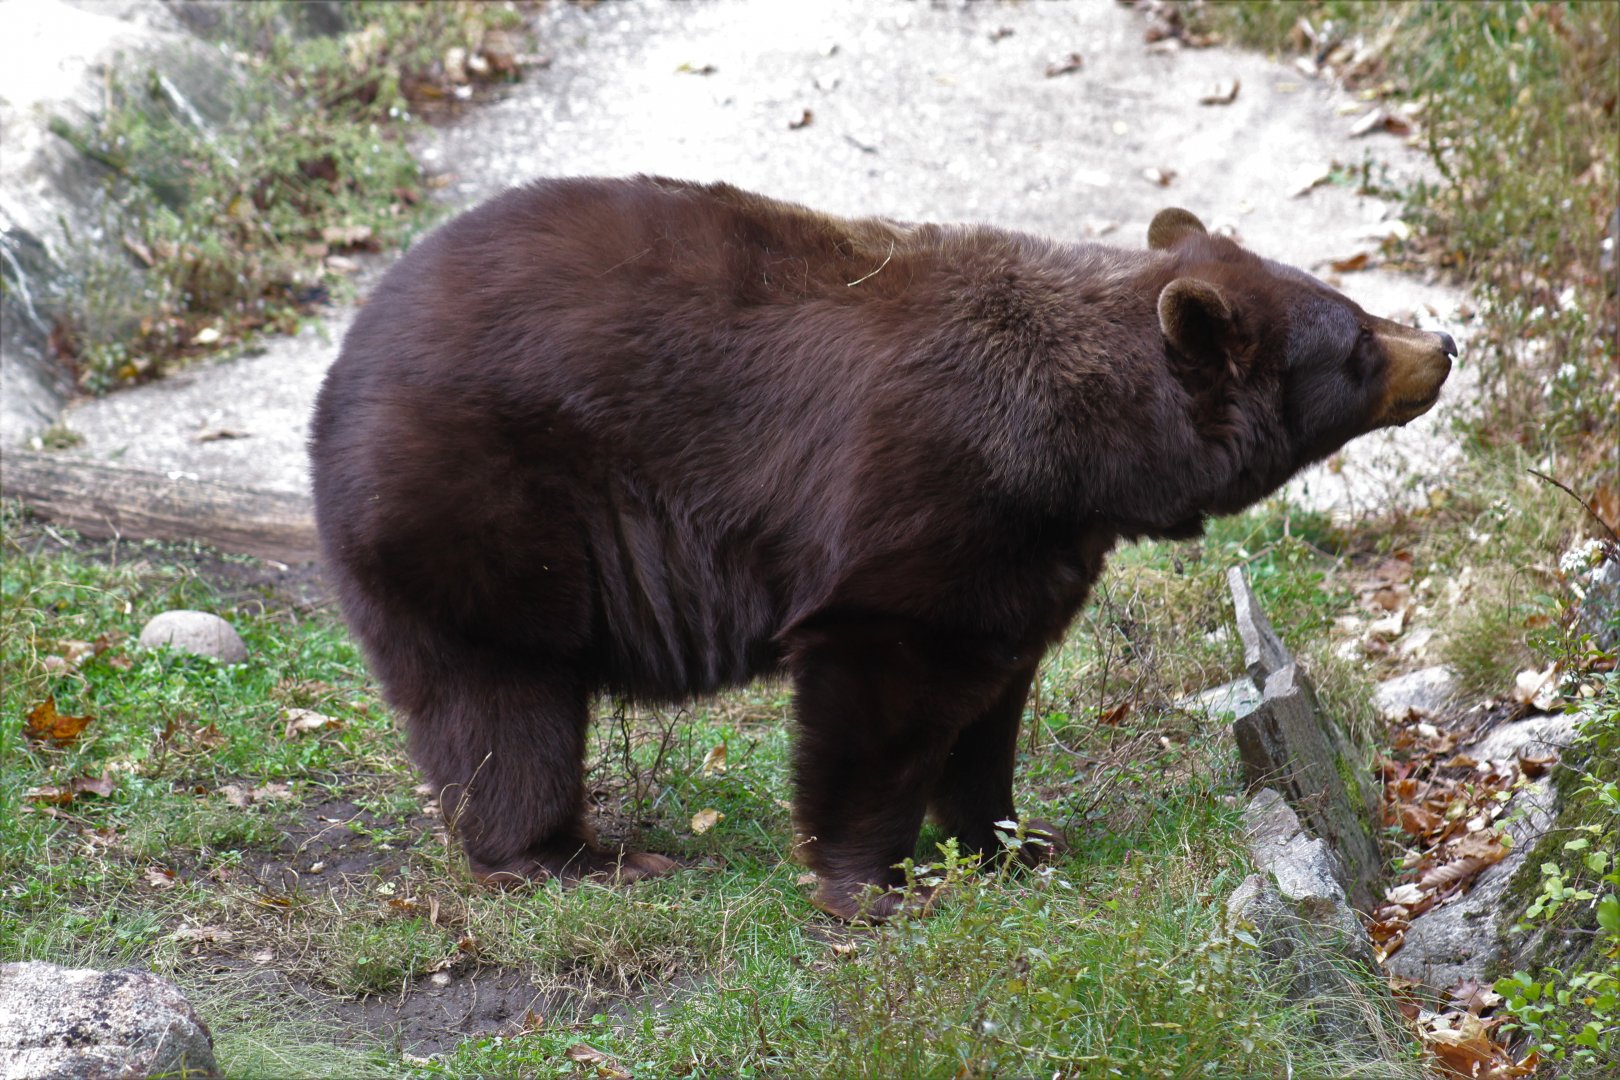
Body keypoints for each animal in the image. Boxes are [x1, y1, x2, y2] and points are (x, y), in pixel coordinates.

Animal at [309, 176, 1453, 921]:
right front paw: (873, 883)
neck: (1077, 448)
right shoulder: (922, 510)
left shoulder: (1031, 550)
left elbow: (995, 698)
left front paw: (1012, 839)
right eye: (1354, 340)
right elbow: (884, 687)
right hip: (489, 511)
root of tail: (344, 364)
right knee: (506, 704)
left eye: (1354, 305)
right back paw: (575, 858)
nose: (1441, 343)